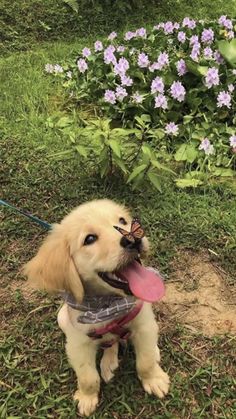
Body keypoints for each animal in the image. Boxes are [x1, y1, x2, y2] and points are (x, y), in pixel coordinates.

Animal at [24, 200, 170, 416]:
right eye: (90, 239)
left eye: (122, 221)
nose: (133, 239)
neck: (108, 305)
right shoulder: (77, 344)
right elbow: (87, 377)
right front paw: (87, 398)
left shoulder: (144, 324)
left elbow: (145, 361)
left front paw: (154, 379)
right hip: (62, 318)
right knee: (110, 343)